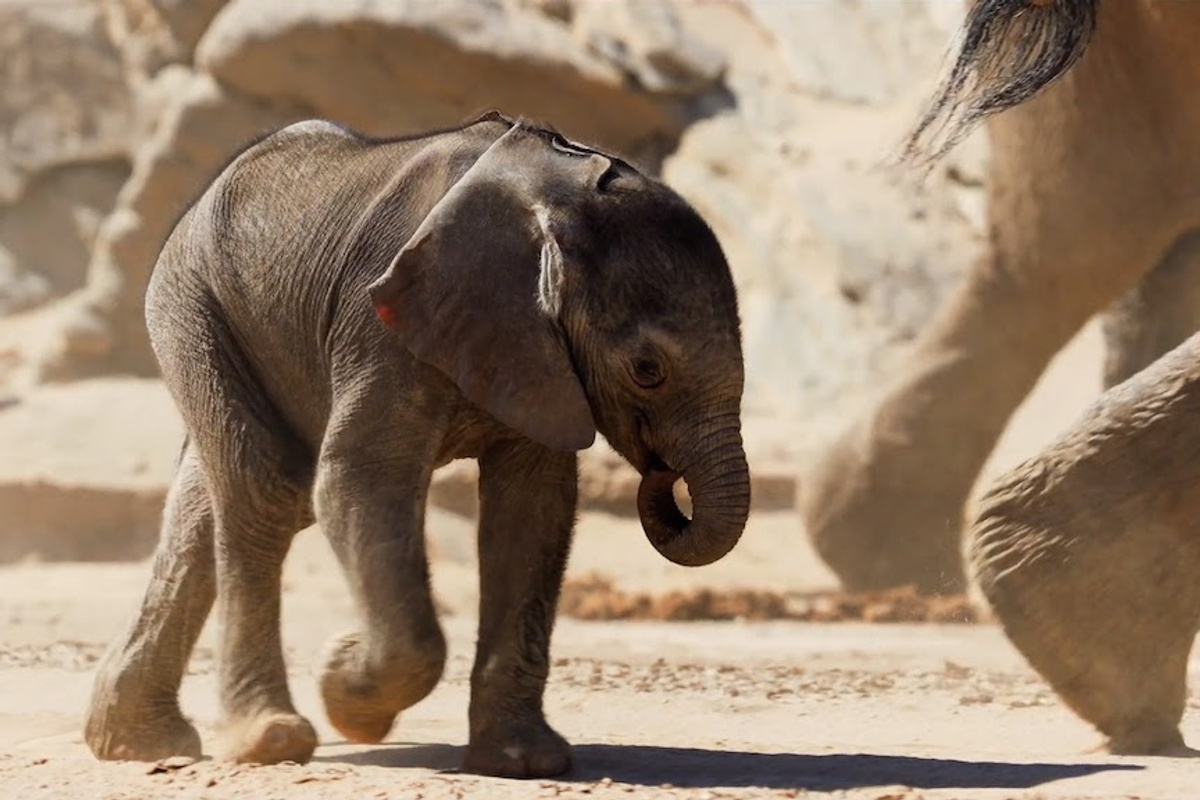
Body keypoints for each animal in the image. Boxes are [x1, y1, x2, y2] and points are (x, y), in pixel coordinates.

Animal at [81, 110, 750, 778]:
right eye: (647, 370)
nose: (661, 474)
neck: (555, 192)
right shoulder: (380, 317)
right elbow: (359, 478)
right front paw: (343, 684)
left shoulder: (534, 347)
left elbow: (532, 510)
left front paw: (525, 761)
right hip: (193, 303)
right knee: (267, 489)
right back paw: (267, 742)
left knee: (215, 501)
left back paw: (139, 743)